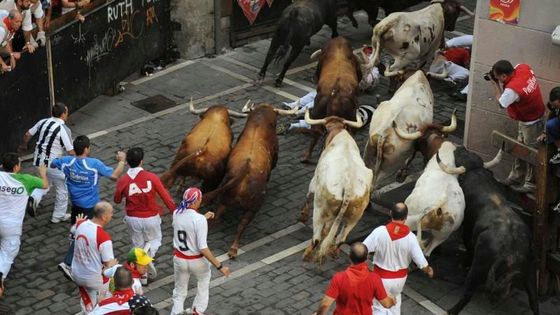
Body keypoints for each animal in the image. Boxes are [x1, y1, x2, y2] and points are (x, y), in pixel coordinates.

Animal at [202, 103, 298, 260]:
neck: (259, 123)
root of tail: (245, 170)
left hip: (226, 197)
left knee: (218, 214)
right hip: (253, 207)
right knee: (242, 224)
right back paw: (233, 249)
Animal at [300, 112, 374, 262]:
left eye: (324, 131)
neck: (339, 132)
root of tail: (349, 187)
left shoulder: (315, 180)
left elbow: (308, 194)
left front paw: (303, 215)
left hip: (320, 208)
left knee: (317, 237)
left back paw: (307, 253)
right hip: (355, 216)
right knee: (340, 238)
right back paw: (334, 251)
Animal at [444, 148, 540, 315]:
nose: (459, 147)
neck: (477, 174)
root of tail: (512, 250)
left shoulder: (467, 229)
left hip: (479, 266)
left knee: (468, 293)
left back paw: (452, 310)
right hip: (531, 271)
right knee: (534, 301)